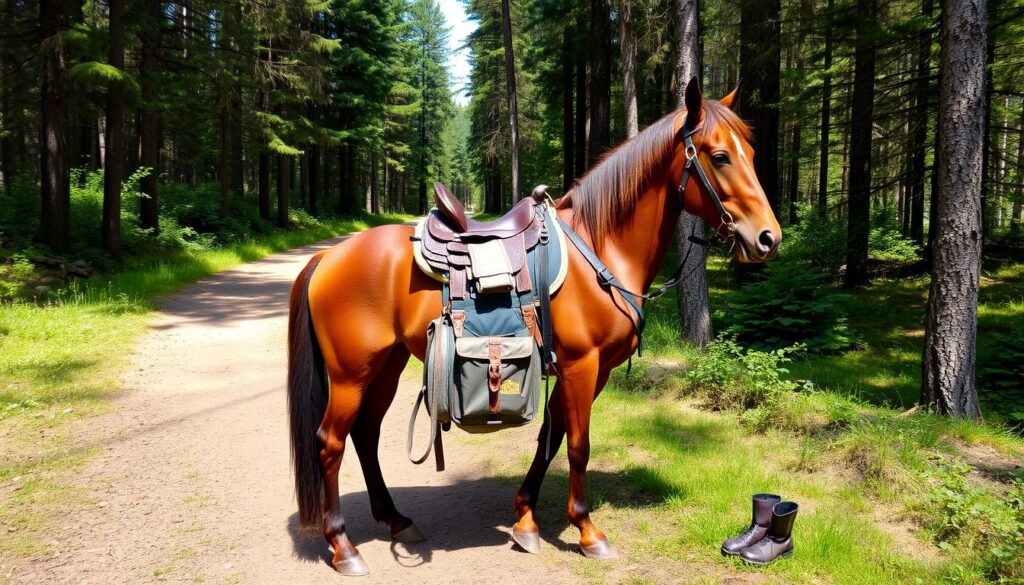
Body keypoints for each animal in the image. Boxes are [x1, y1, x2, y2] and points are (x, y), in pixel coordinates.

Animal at [286, 78, 781, 575]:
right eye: (720, 156)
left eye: (751, 153)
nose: (768, 238)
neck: (601, 245)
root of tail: (327, 256)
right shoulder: (583, 365)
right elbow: (578, 445)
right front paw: (587, 532)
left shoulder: (584, 370)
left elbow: (552, 435)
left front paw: (526, 520)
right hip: (350, 374)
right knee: (330, 442)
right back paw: (343, 546)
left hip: (385, 366)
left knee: (365, 434)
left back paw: (395, 520)